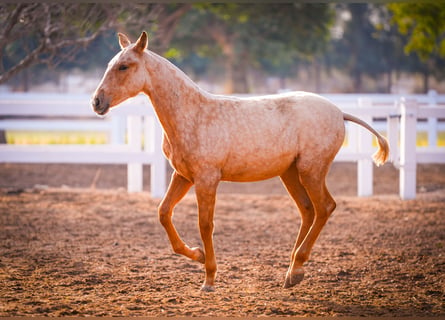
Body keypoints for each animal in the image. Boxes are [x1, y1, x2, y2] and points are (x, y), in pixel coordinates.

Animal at [91, 31, 388, 292]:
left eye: (124, 66)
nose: (97, 102)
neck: (193, 114)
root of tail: (339, 112)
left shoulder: (207, 179)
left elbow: (205, 224)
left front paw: (209, 279)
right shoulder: (183, 176)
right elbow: (164, 213)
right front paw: (197, 254)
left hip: (311, 171)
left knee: (325, 207)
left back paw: (297, 268)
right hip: (290, 174)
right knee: (307, 211)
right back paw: (291, 272)